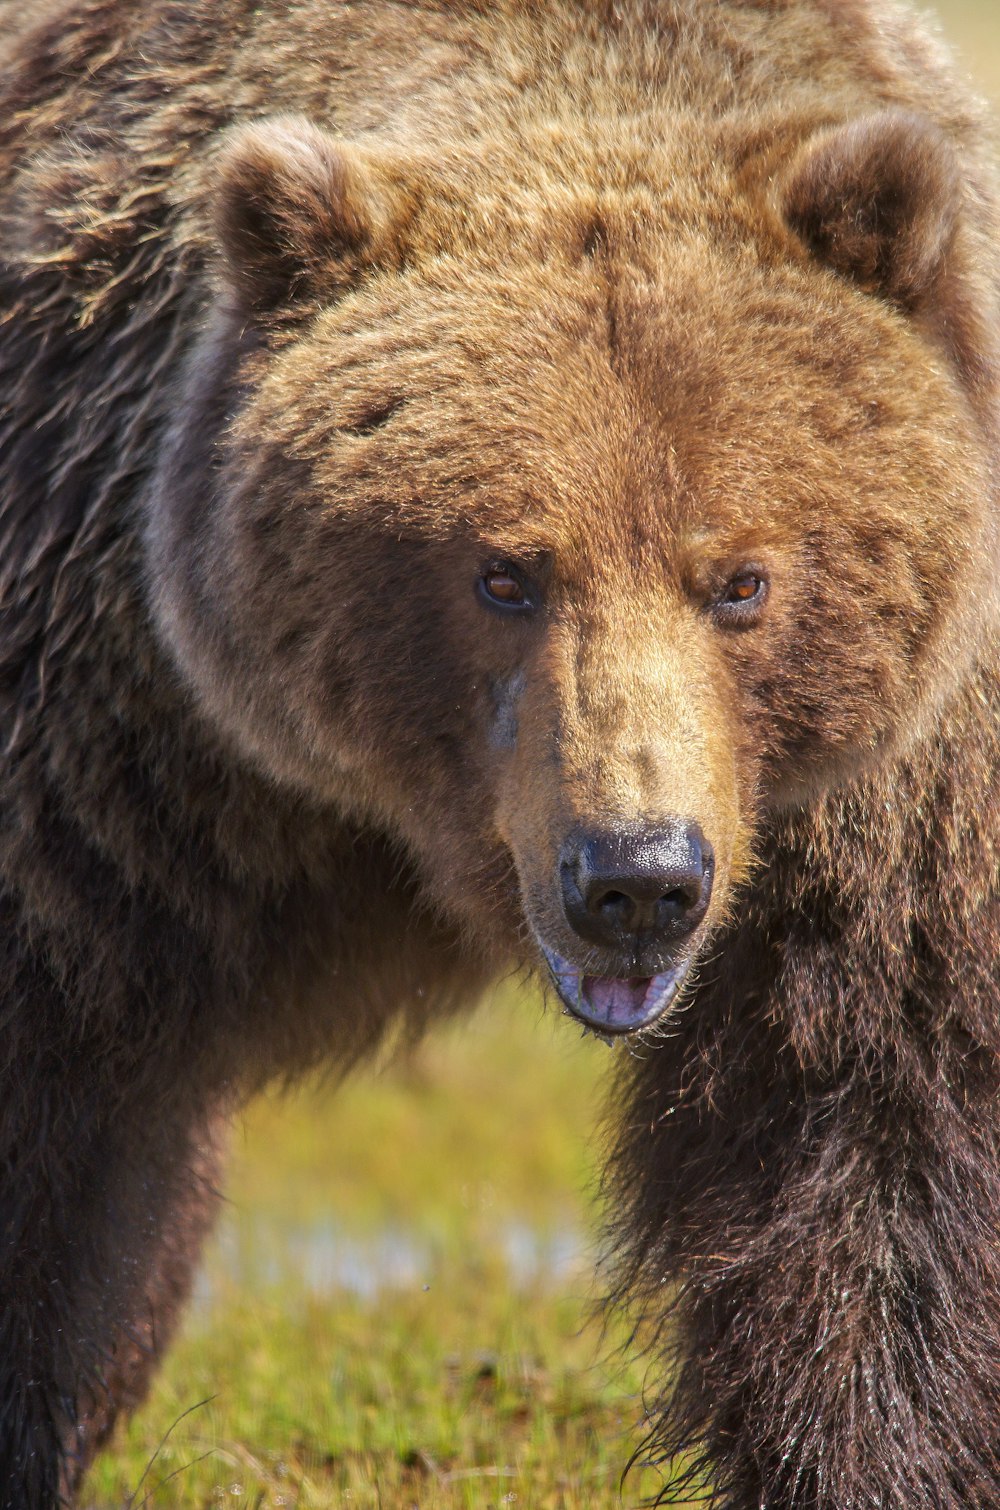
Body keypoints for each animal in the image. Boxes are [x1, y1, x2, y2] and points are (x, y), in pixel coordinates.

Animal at [1, 0, 1000, 1503]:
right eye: (503, 573)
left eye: (742, 579)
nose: (636, 877)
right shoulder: (98, 723)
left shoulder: (894, 823)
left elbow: (880, 1146)